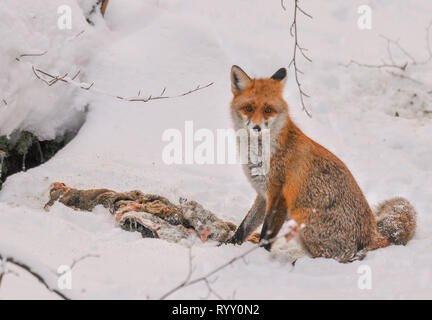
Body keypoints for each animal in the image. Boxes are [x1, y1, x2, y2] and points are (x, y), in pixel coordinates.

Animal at [228, 65, 416, 262]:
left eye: (268, 110)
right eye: (248, 108)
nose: (256, 128)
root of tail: (372, 235)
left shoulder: (279, 196)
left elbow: (266, 236)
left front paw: (260, 257)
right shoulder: (264, 194)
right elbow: (245, 226)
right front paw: (230, 245)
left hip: (303, 220)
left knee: (340, 258)